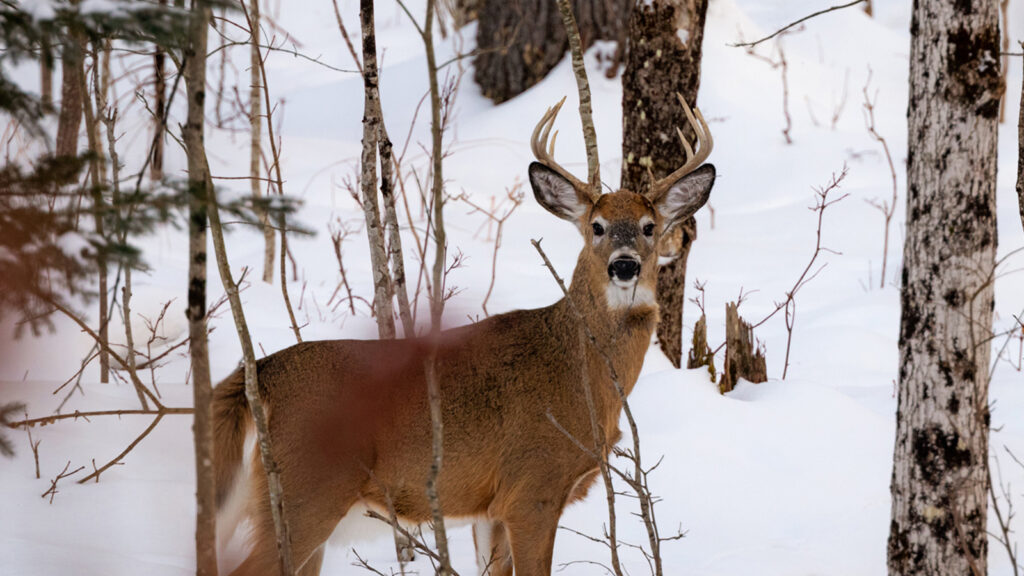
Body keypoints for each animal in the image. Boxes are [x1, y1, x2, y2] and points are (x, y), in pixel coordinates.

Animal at [212, 95, 716, 573]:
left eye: (650, 227)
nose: (624, 265)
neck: (581, 375)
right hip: (305, 494)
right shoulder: (531, 488)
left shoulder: (488, 509)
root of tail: (261, 373)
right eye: (597, 226)